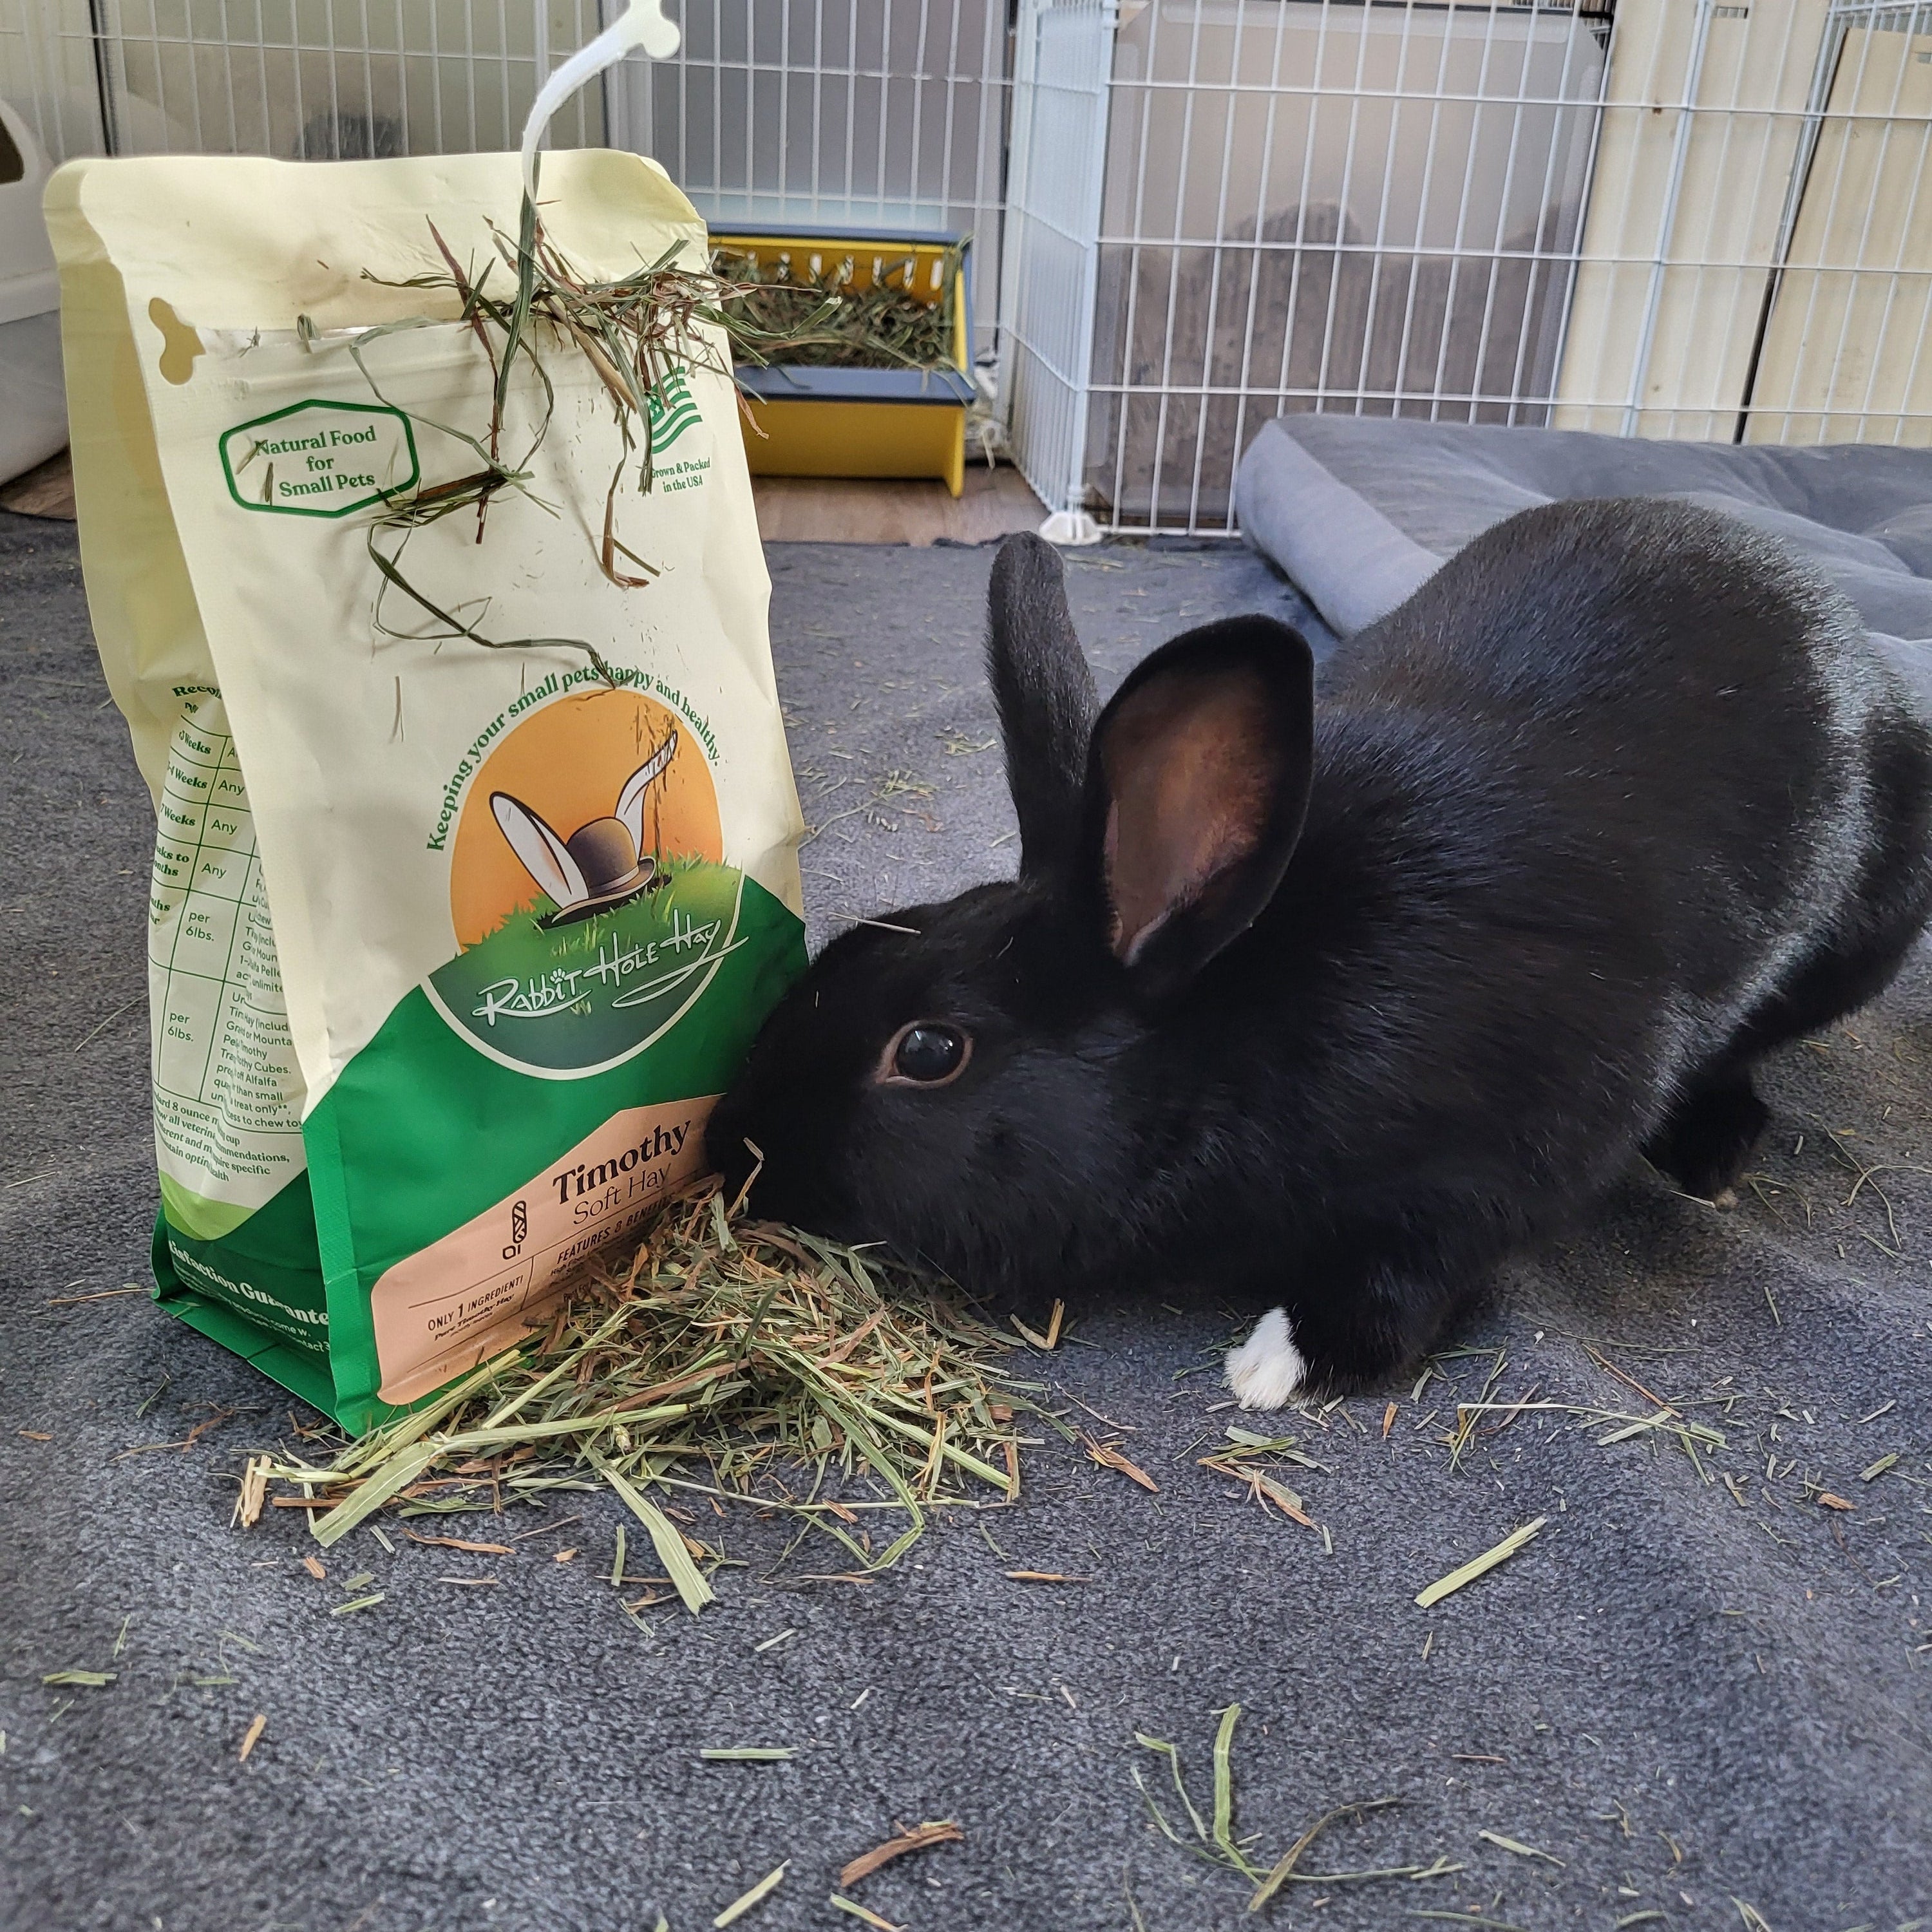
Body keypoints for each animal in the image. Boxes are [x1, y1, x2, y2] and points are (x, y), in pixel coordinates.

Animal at [705, 502, 1932, 1405]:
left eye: (928, 1052)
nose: (734, 1149)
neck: (1239, 1024)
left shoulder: (1512, 1155)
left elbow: (1411, 1277)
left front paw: (1274, 1362)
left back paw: (1713, 1155)